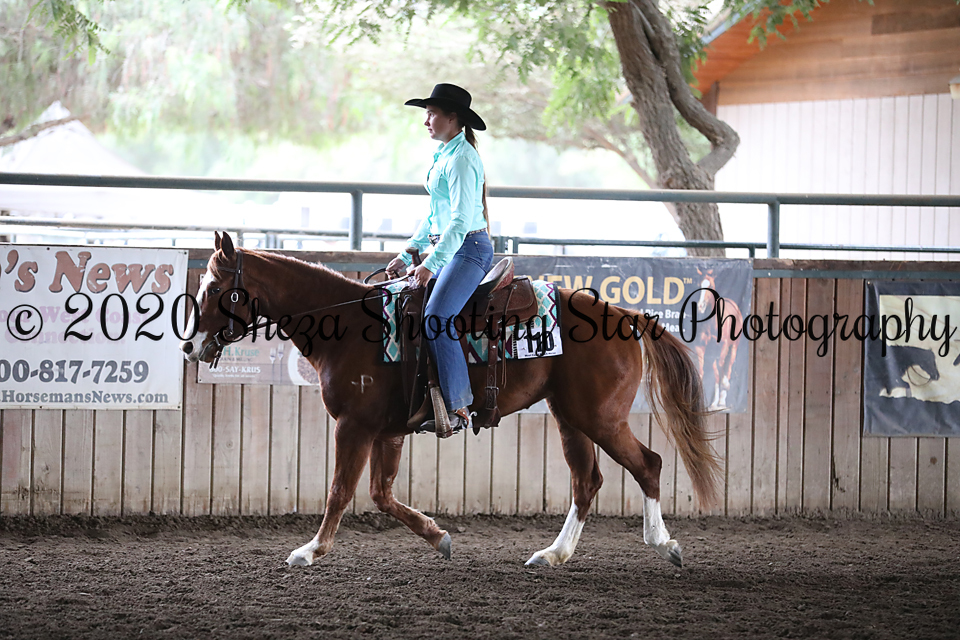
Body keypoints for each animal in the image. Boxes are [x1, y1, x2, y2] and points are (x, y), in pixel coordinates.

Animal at [180, 232, 722, 569]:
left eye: (215, 287)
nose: (189, 346)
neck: (352, 328)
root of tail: (627, 316)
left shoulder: (353, 426)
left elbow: (340, 492)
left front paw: (310, 551)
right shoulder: (388, 431)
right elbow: (381, 494)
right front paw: (438, 536)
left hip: (601, 417)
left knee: (647, 464)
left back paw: (663, 544)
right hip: (571, 417)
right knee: (586, 482)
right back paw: (553, 554)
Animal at [693, 269, 742, 410]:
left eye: (710, 286)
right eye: (698, 284)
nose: (700, 306)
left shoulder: (723, 346)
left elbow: (720, 369)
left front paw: (720, 395)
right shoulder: (700, 347)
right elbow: (702, 370)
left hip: (733, 347)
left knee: (727, 367)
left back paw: (722, 398)